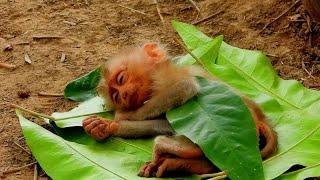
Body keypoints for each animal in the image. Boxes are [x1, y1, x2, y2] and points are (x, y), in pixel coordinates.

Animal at [83, 43, 278, 178]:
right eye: (115, 96)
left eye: (121, 79)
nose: (123, 95)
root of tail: (261, 117)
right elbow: (162, 122)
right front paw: (106, 126)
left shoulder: (165, 77)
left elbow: (184, 87)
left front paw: (125, 115)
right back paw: (189, 163)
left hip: (240, 122)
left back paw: (175, 149)